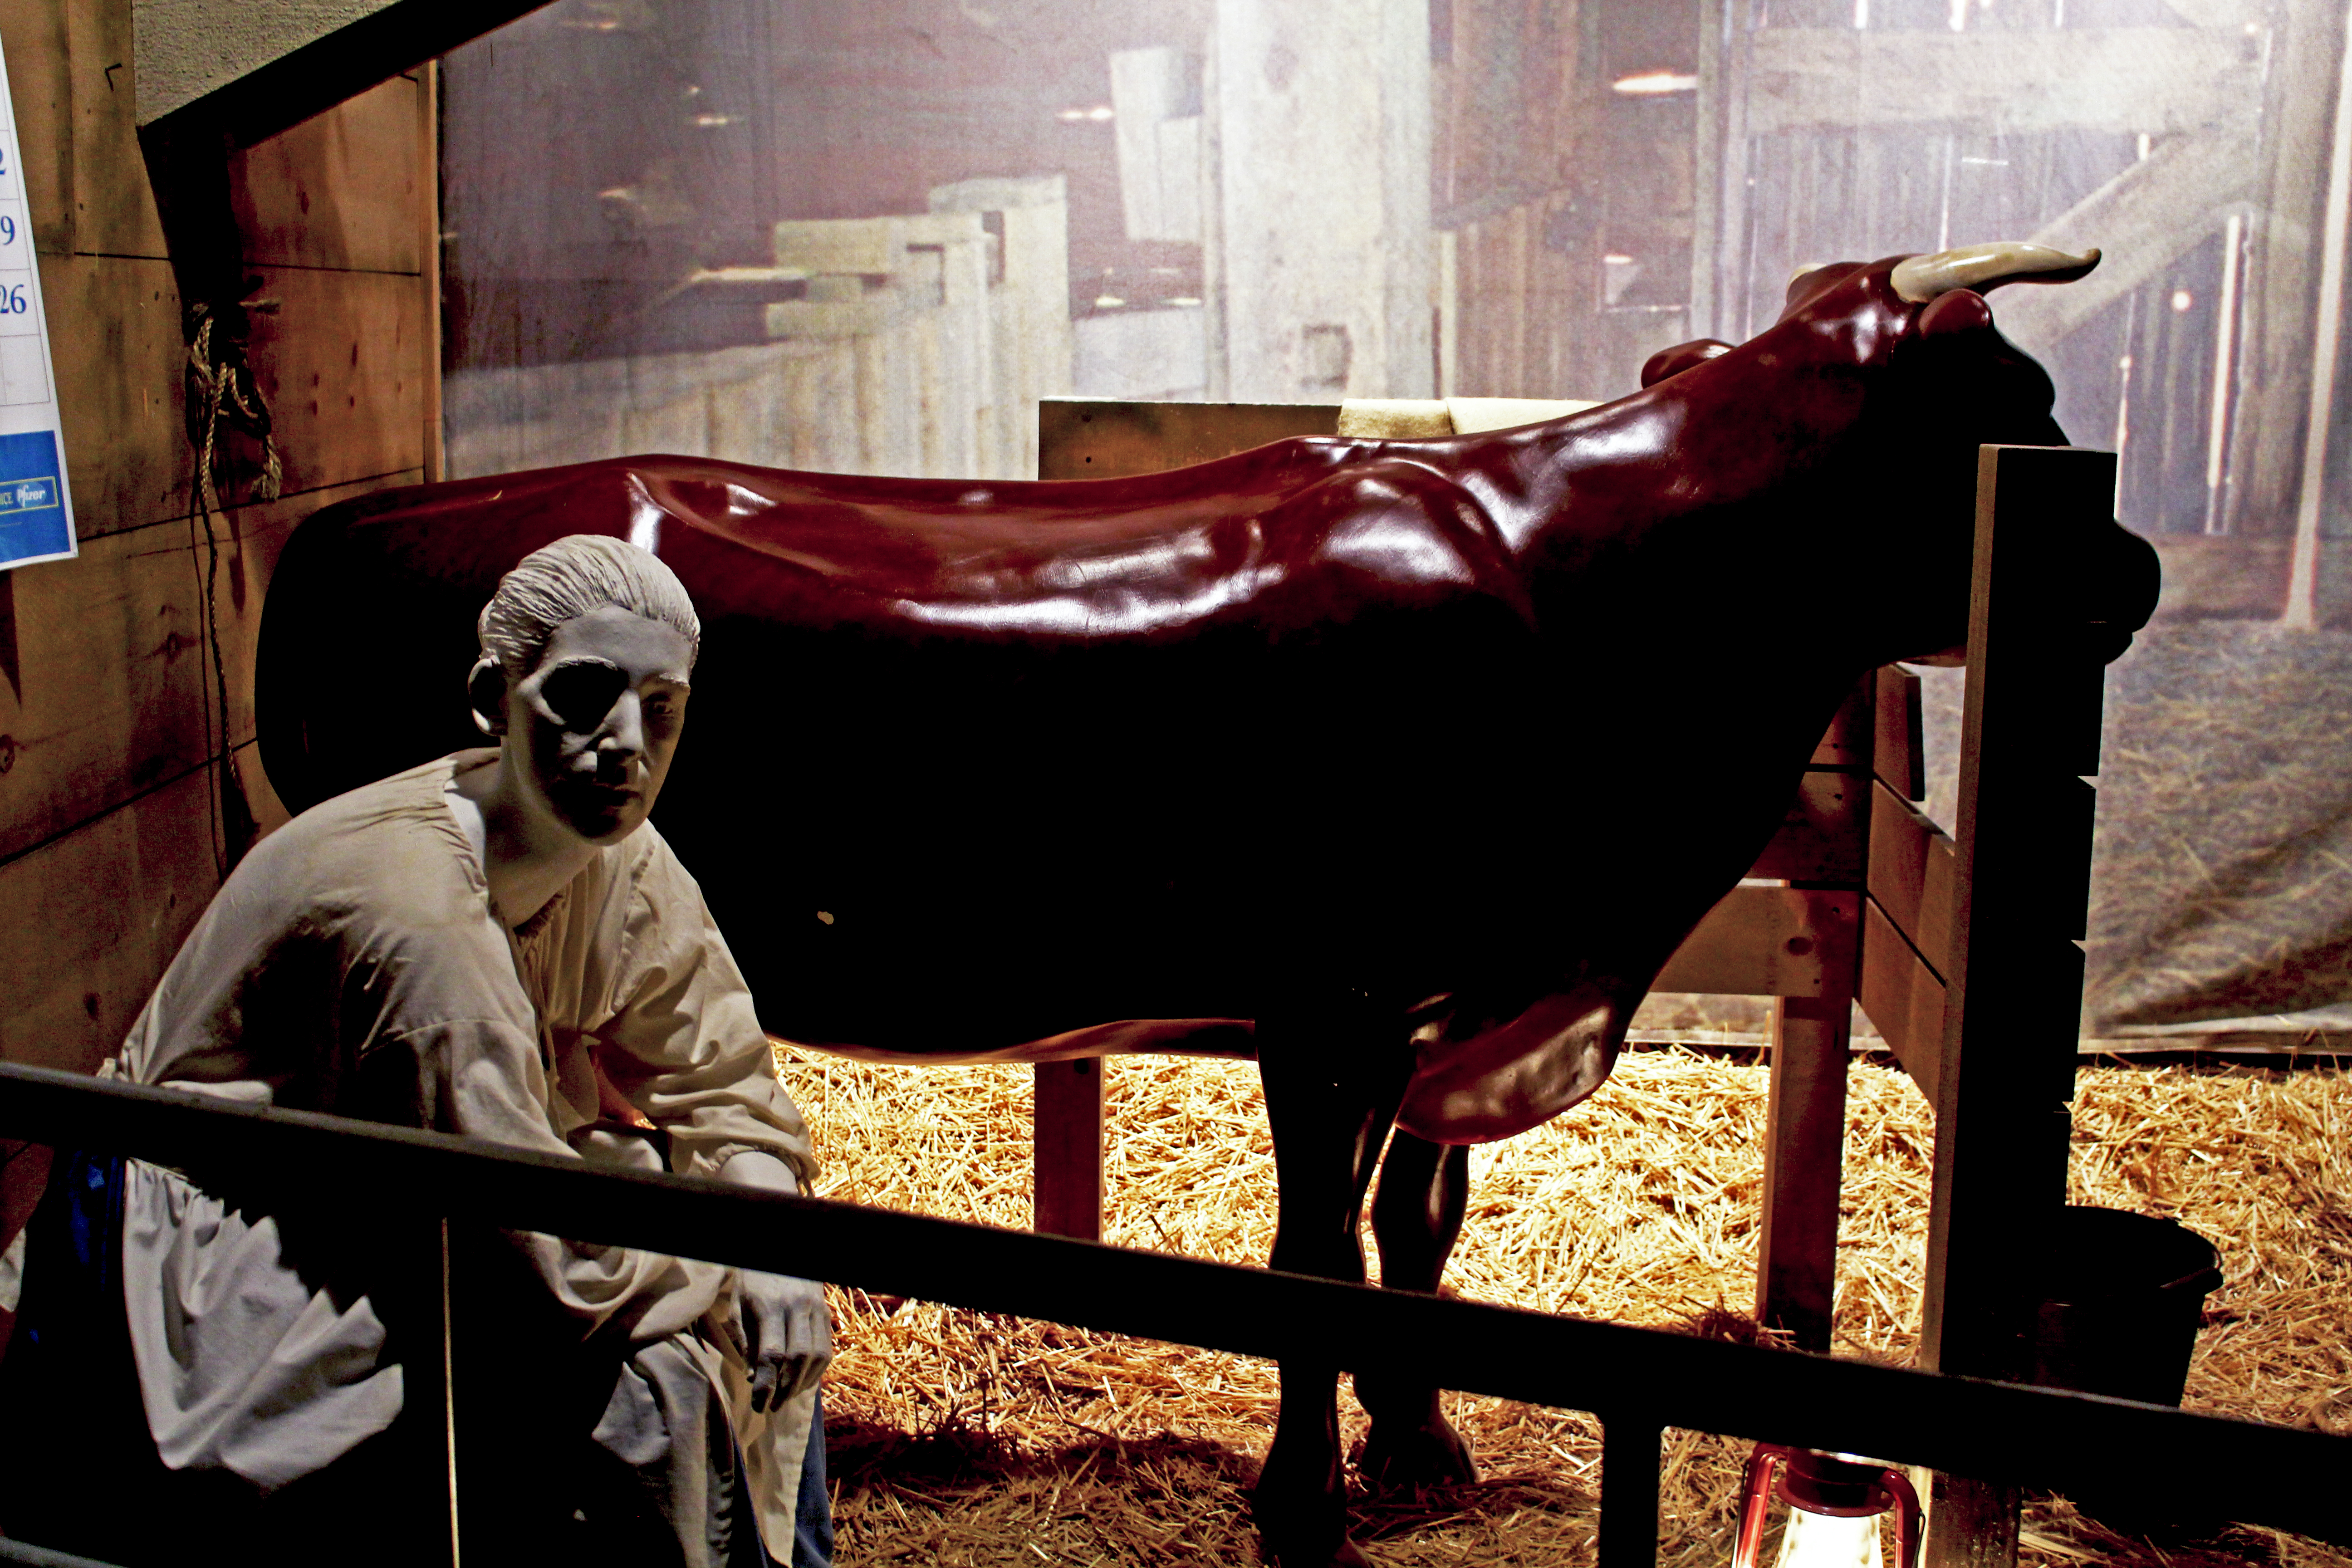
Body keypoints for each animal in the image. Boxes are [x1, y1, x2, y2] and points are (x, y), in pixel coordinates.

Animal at [253, 240, 2154, 1561]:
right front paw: (1306, 1498)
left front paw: (1420, 1446)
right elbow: (1312, 1257)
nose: (2131, 569)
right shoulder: (1335, 1003)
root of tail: (355, 522)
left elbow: (1413, 1234)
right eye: (2017, 404)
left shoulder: (1446, 1005)